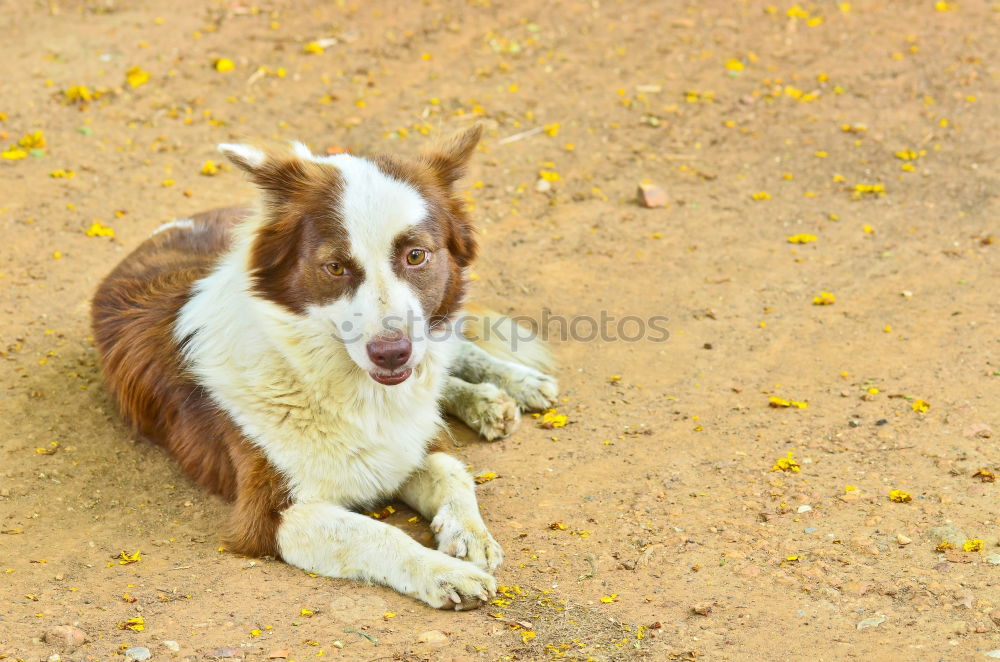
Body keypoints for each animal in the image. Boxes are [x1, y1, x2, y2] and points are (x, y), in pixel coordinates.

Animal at [90, 126, 560, 612]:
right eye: (335, 266)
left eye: (416, 256)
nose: (391, 353)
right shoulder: (272, 517)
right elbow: (379, 533)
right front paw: (444, 572)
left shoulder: (405, 446)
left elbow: (451, 470)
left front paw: (469, 534)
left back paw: (510, 386)